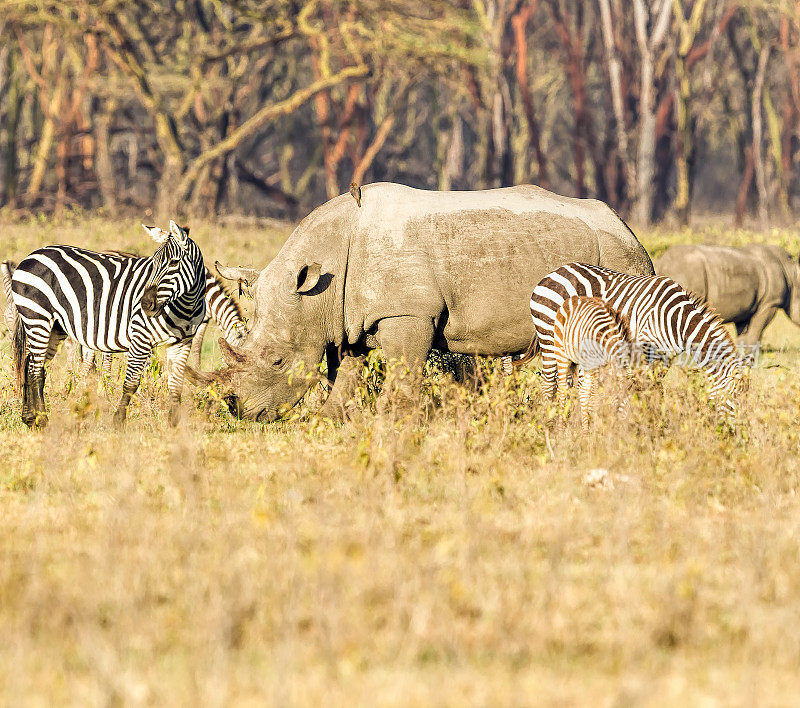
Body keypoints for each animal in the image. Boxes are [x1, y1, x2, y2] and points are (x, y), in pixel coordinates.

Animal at [7, 221, 206, 428]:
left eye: (174, 263)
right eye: (152, 264)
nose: (144, 304)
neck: (186, 305)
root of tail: (33, 254)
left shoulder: (182, 342)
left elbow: (176, 384)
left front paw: (173, 425)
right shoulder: (140, 336)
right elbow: (131, 383)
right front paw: (119, 421)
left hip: (55, 326)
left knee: (30, 365)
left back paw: (29, 418)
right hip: (37, 317)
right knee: (35, 370)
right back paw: (41, 421)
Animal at [552, 296, 632, 428]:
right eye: (620, 398)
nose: (626, 427)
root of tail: (572, 298)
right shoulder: (596, 365)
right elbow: (595, 395)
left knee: (584, 390)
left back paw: (585, 430)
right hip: (562, 354)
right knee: (563, 388)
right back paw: (560, 427)